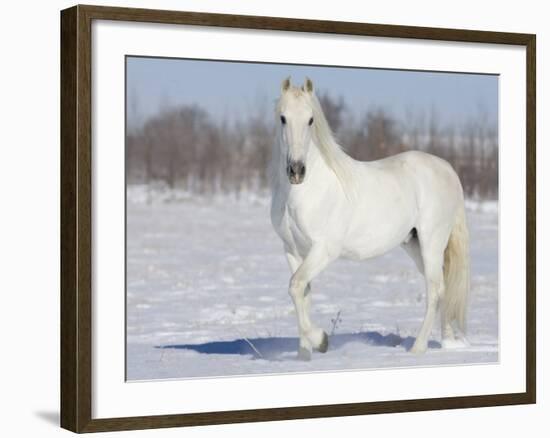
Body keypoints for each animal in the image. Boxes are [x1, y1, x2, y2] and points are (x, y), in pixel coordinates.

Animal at [272, 78, 470, 360]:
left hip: (432, 243)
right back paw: (448, 343)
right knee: (444, 286)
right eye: (283, 118)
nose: (296, 170)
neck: (305, 191)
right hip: (415, 245)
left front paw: (321, 341)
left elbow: (296, 286)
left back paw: (418, 348)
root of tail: (447, 168)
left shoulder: (324, 250)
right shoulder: (292, 250)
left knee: (435, 290)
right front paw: (304, 356)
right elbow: (302, 294)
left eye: (310, 120)